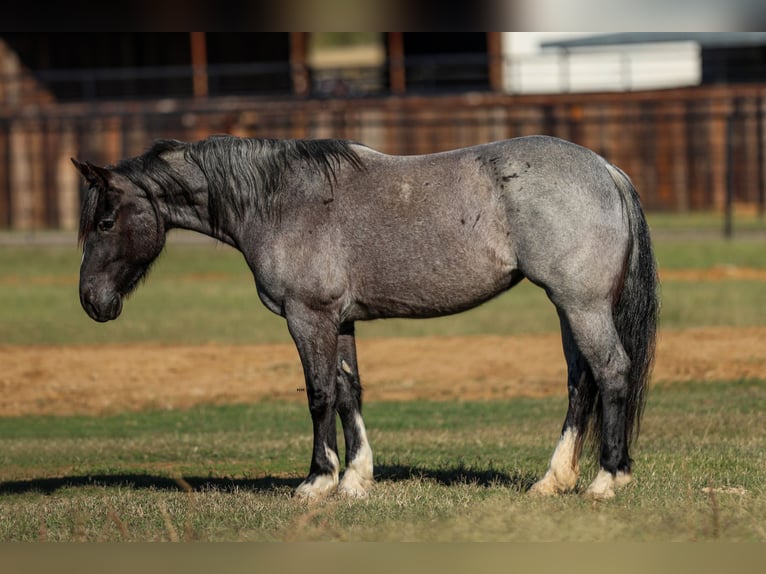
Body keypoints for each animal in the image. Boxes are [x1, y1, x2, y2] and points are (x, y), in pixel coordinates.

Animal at [73, 134, 660, 500]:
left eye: (105, 221)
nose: (92, 302)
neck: (281, 201)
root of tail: (606, 170)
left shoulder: (307, 317)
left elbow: (318, 395)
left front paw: (317, 481)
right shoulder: (340, 320)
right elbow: (348, 390)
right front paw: (355, 479)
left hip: (581, 306)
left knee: (611, 373)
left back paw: (607, 480)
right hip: (568, 308)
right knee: (580, 383)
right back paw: (553, 480)